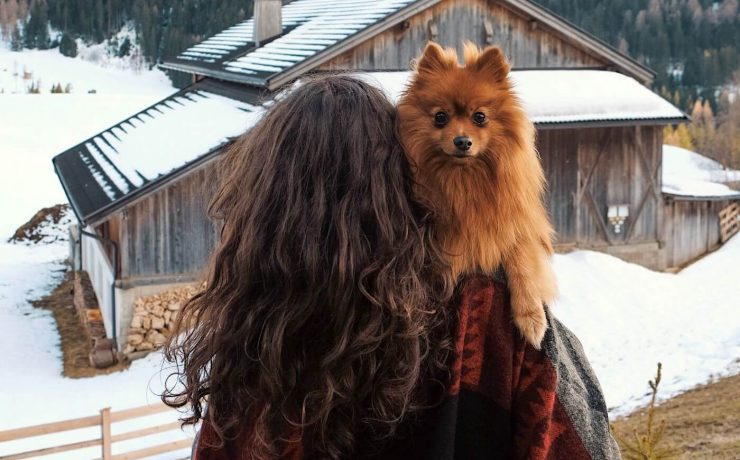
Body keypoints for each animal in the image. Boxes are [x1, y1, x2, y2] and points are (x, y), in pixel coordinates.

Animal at [398, 43, 556, 346]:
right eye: (440, 117)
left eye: (479, 117)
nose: (462, 141)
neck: (465, 179)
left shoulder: (518, 226)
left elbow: (522, 262)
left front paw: (531, 317)